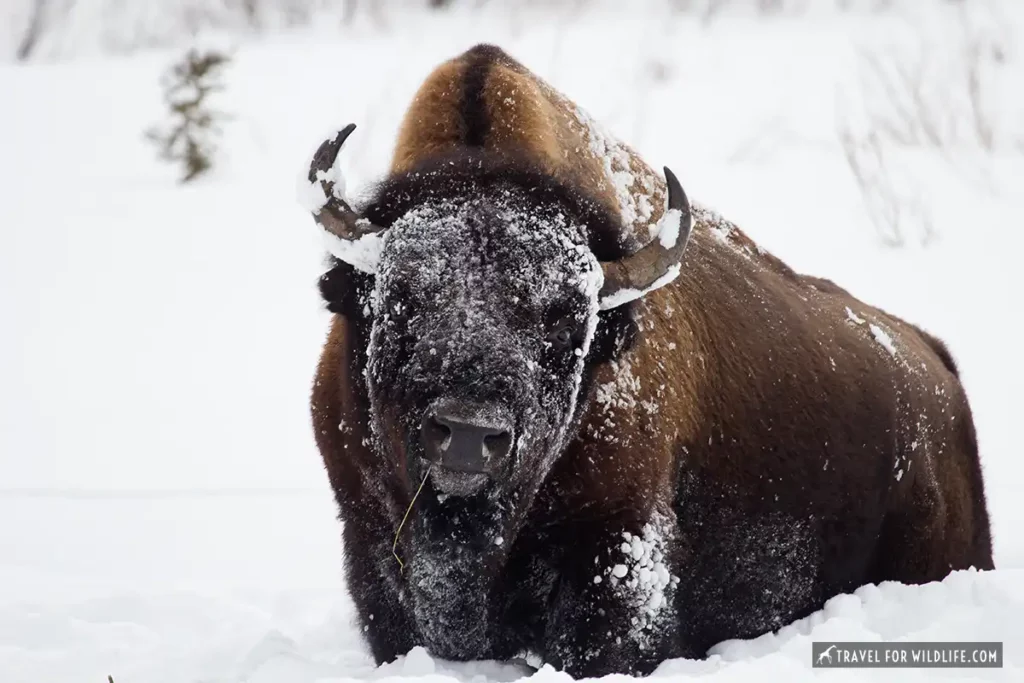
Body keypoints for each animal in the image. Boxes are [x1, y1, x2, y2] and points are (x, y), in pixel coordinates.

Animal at [301, 44, 991, 679]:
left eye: (565, 319)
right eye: (402, 296)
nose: (469, 434)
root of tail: (937, 365)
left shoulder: (619, 552)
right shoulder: (368, 542)